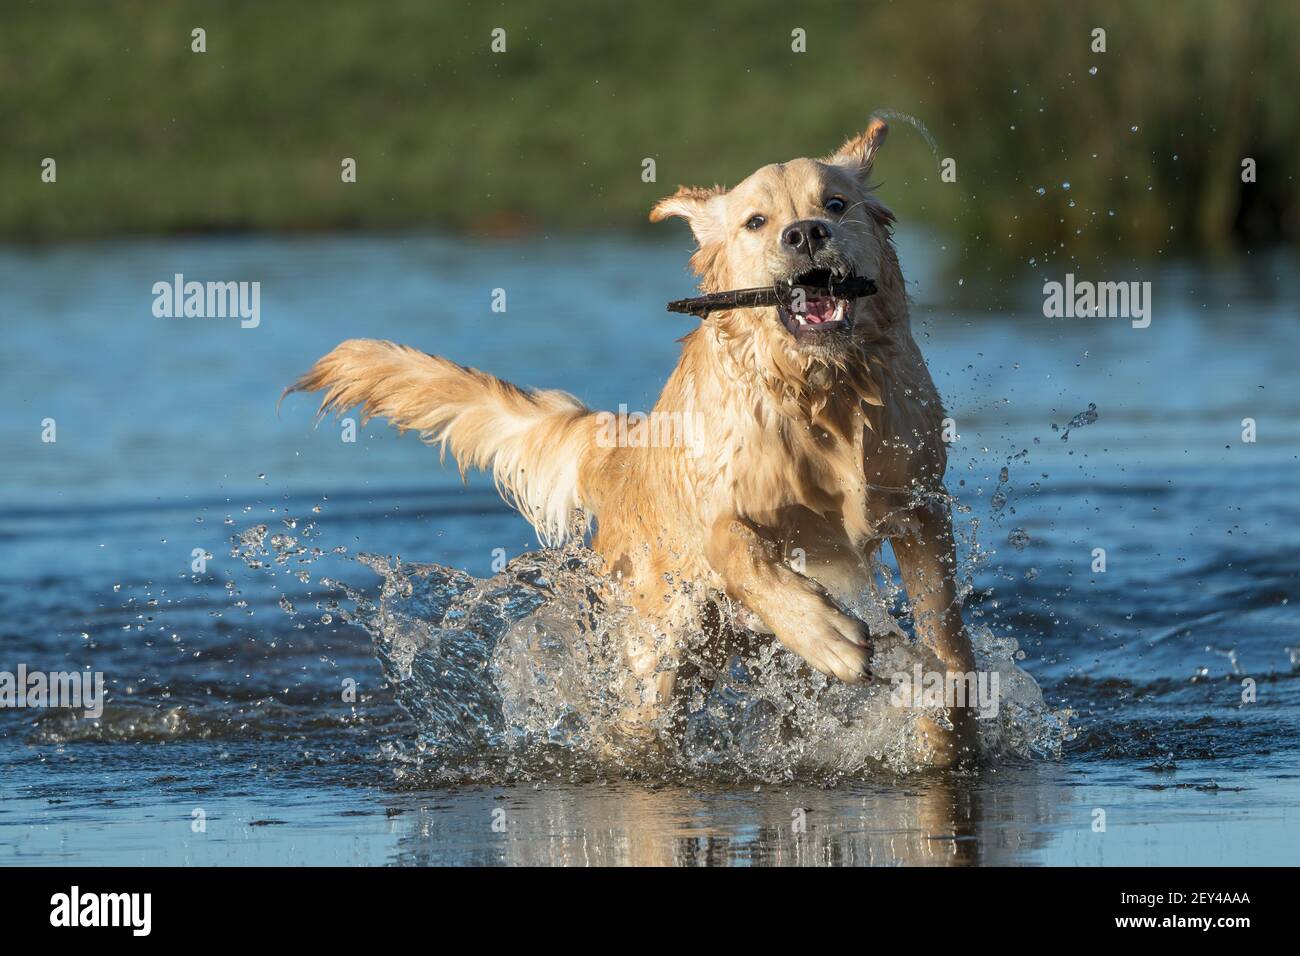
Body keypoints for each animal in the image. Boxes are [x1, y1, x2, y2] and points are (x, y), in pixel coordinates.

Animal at [284, 113, 977, 770]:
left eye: (834, 203)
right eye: (757, 221)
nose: (805, 233)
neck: (820, 394)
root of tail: (623, 442)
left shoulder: (921, 504)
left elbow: (945, 629)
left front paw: (944, 718)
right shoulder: (722, 510)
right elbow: (738, 546)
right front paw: (829, 636)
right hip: (661, 649)